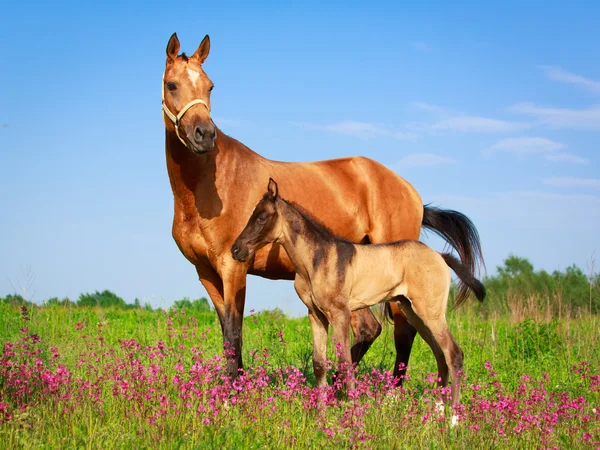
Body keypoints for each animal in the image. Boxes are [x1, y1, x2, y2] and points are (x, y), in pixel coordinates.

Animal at [161, 32, 482, 380]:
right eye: (172, 85)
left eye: (210, 86)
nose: (204, 135)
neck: (208, 187)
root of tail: (411, 193)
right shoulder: (206, 273)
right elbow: (226, 334)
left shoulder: (233, 268)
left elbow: (234, 333)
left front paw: (235, 390)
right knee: (370, 329)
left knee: (403, 332)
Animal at [232, 178, 486, 406]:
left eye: (262, 217)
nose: (236, 249)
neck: (317, 259)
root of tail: (439, 256)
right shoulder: (316, 314)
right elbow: (319, 364)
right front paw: (320, 415)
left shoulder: (340, 314)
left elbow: (345, 364)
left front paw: (352, 414)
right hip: (414, 311)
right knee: (440, 354)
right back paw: (437, 413)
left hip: (431, 312)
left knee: (453, 354)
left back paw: (453, 417)